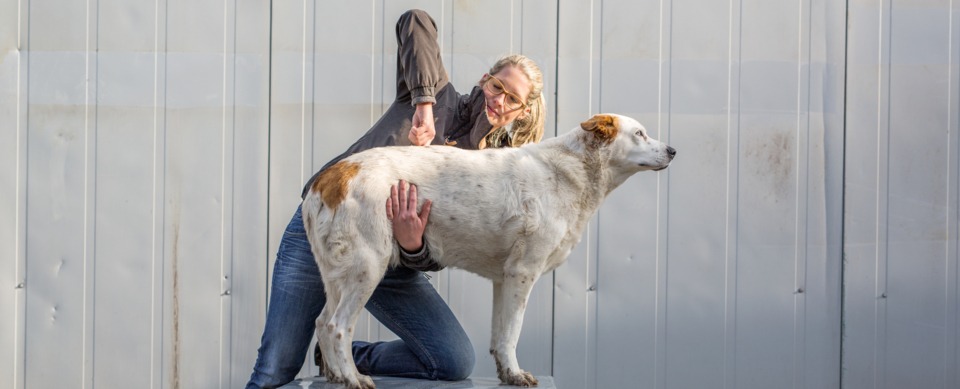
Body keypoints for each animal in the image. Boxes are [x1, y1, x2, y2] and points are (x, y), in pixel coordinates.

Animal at [300, 111, 676, 384]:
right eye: (639, 134)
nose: (673, 151)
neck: (572, 171)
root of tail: (333, 175)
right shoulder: (523, 272)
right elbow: (512, 332)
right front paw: (516, 374)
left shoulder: (503, 278)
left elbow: (499, 335)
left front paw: (506, 373)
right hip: (368, 267)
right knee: (337, 327)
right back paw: (353, 378)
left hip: (338, 275)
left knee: (321, 321)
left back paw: (335, 375)